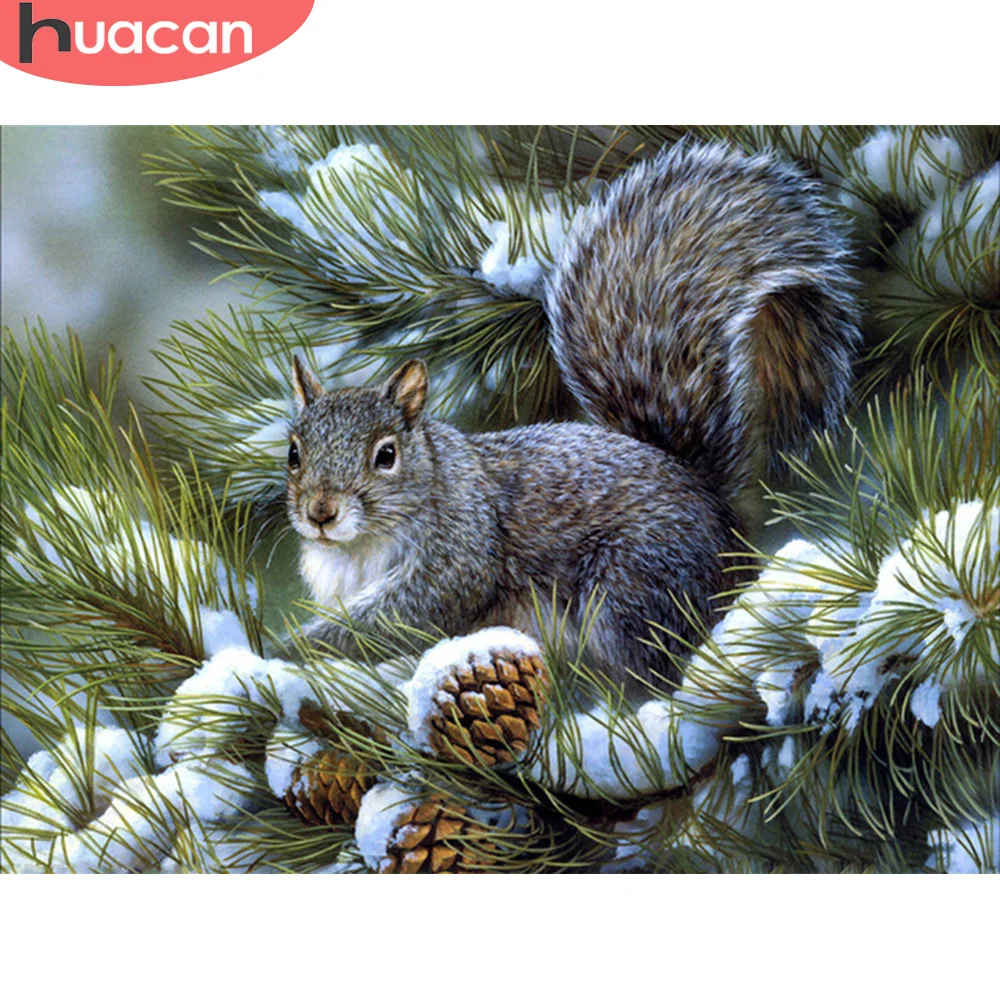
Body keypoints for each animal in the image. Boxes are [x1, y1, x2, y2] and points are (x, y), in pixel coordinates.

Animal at [285, 141, 861, 689]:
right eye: (293, 453)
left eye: (386, 455)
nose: (320, 513)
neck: (359, 546)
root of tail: (719, 516)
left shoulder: (460, 553)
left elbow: (403, 617)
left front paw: (297, 646)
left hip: (634, 583)